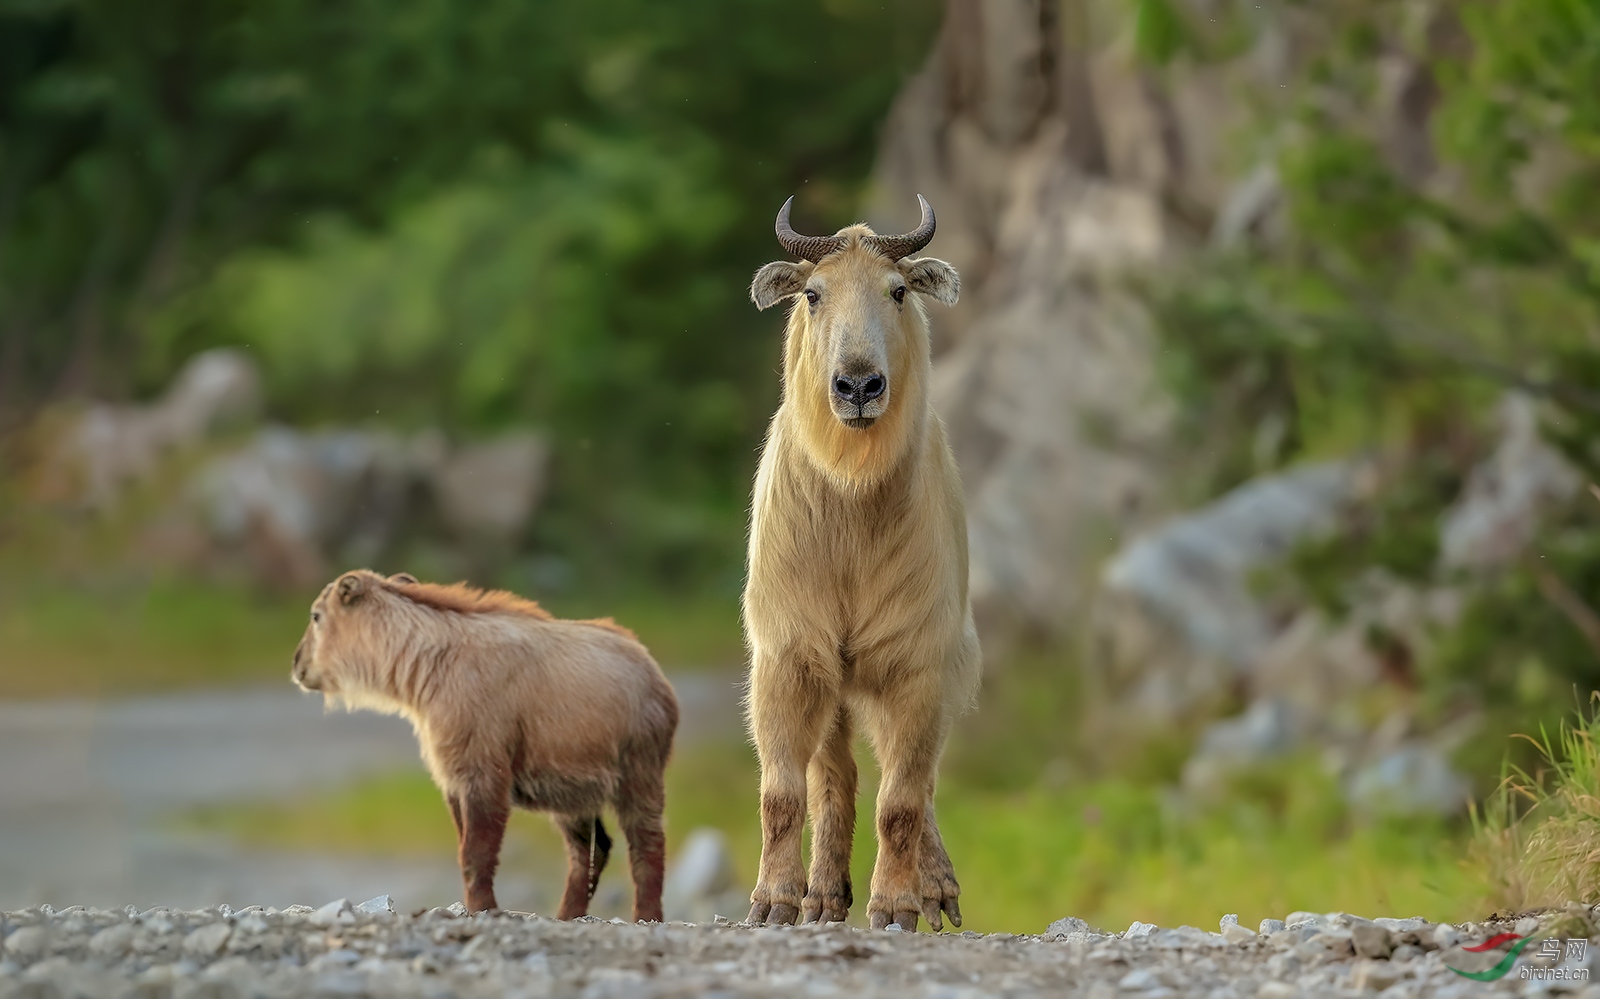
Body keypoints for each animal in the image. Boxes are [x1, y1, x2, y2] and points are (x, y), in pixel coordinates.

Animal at [288, 569, 675, 922]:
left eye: (315, 615)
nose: (297, 664)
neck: (428, 667)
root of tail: (656, 673)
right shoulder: (453, 773)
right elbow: (465, 846)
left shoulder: (483, 762)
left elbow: (476, 852)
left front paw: (483, 907)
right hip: (571, 785)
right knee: (590, 849)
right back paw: (567, 913)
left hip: (637, 765)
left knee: (646, 843)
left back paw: (647, 914)